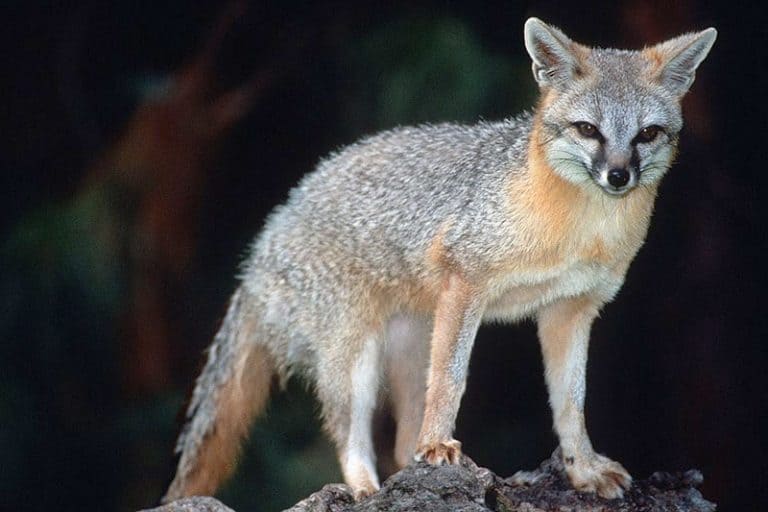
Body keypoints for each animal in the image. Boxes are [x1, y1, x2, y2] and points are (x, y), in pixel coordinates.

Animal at [164, 18, 716, 503]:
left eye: (647, 134)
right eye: (588, 129)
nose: (618, 176)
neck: (581, 231)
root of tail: (263, 243)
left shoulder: (570, 309)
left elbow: (571, 402)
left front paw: (582, 469)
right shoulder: (464, 281)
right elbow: (452, 380)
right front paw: (438, 446)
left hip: (410, 348)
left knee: (399, 439)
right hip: (355, 357)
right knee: (350, 433)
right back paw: (365, 489)